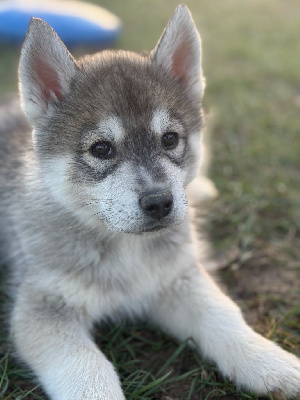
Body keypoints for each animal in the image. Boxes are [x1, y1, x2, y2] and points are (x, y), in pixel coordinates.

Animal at [0, 6, 298, 400]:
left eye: (169, 139)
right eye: (101, 149)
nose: (159, 203)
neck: (126, 250)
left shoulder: (178, 280)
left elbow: (225, 316)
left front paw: (270, 362)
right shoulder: (43, 307)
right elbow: (88, 370)